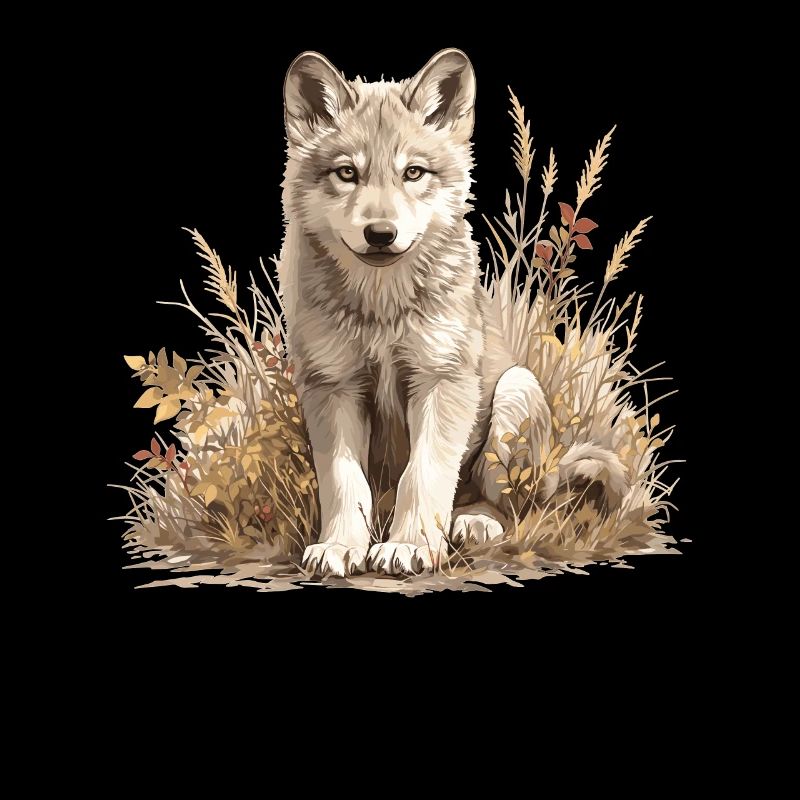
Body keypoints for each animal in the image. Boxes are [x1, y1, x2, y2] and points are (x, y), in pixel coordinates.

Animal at [279, 49, 627, 577]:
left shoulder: (442, 380)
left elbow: (423, 474)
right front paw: (340, 546)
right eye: (347, 173)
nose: (380, 234)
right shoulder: (332, 386)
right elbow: (343, 482)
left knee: (509, 507)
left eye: (413, 173)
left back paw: (474, 522)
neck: (382, 309)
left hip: (515, 392)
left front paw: (409, 546)